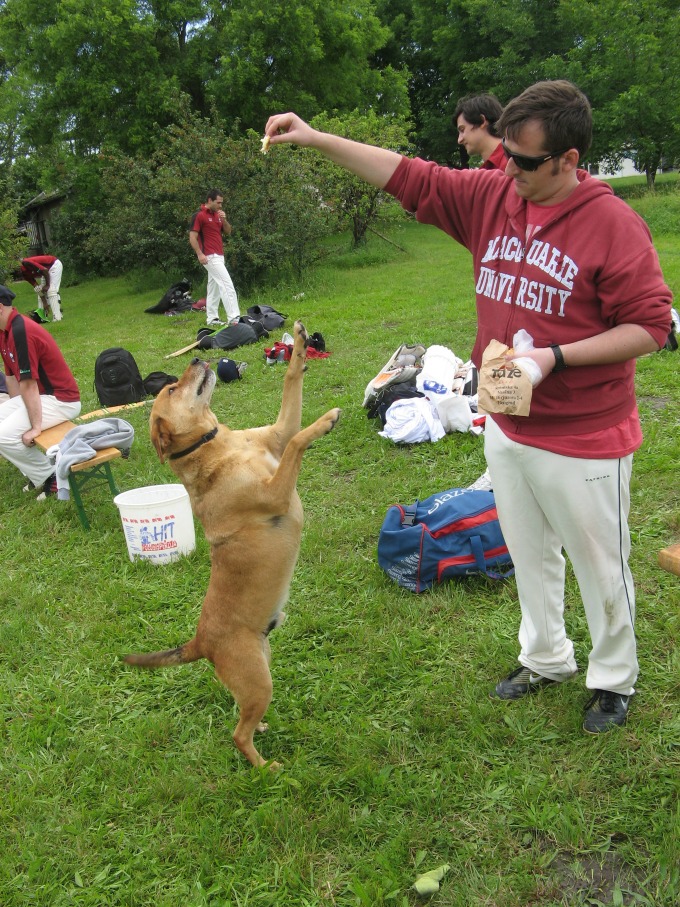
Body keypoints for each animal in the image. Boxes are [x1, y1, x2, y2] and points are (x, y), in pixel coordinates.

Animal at [123, 322, 340, 768]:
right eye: (172, 389)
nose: (195, 356)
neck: (216, 446)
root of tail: (200, 642)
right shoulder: (276, 492)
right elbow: (299, 441)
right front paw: (326, 421)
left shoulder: (277, 434)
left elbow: (291, 392)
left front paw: (298, 346)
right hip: (259, 682)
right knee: (237, 735)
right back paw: (265, 768)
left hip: (261, 669)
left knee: (243, 718)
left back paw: (262, 731)